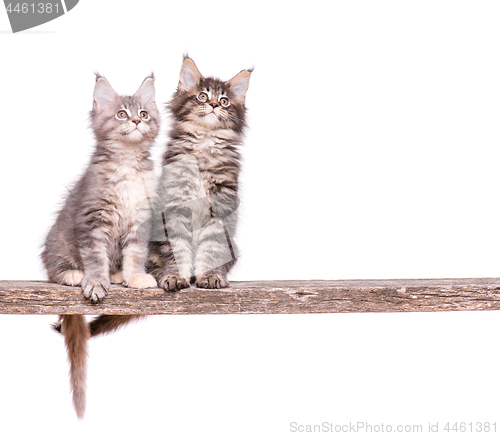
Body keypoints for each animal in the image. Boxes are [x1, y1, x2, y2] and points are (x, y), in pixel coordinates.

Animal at [42, 74, 160, 418]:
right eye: (121, 114)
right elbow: (95, 257)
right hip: (57, 243)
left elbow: (136, 253)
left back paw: (117, 275)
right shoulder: (92, 220)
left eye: (144, 114)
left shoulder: (140, 221)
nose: (136, 121)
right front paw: (95, 283)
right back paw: (73, 275)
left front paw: (135, 277)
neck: (128, 167)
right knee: (54, 268)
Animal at [87, 57, 254, 338]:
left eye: (224, 101)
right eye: (202, 96)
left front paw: (210, 277)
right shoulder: (174, 207)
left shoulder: (220, 208)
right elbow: (176, 250)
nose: (212, 105)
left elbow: (211, 248)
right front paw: (175, 277)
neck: (204, 146)